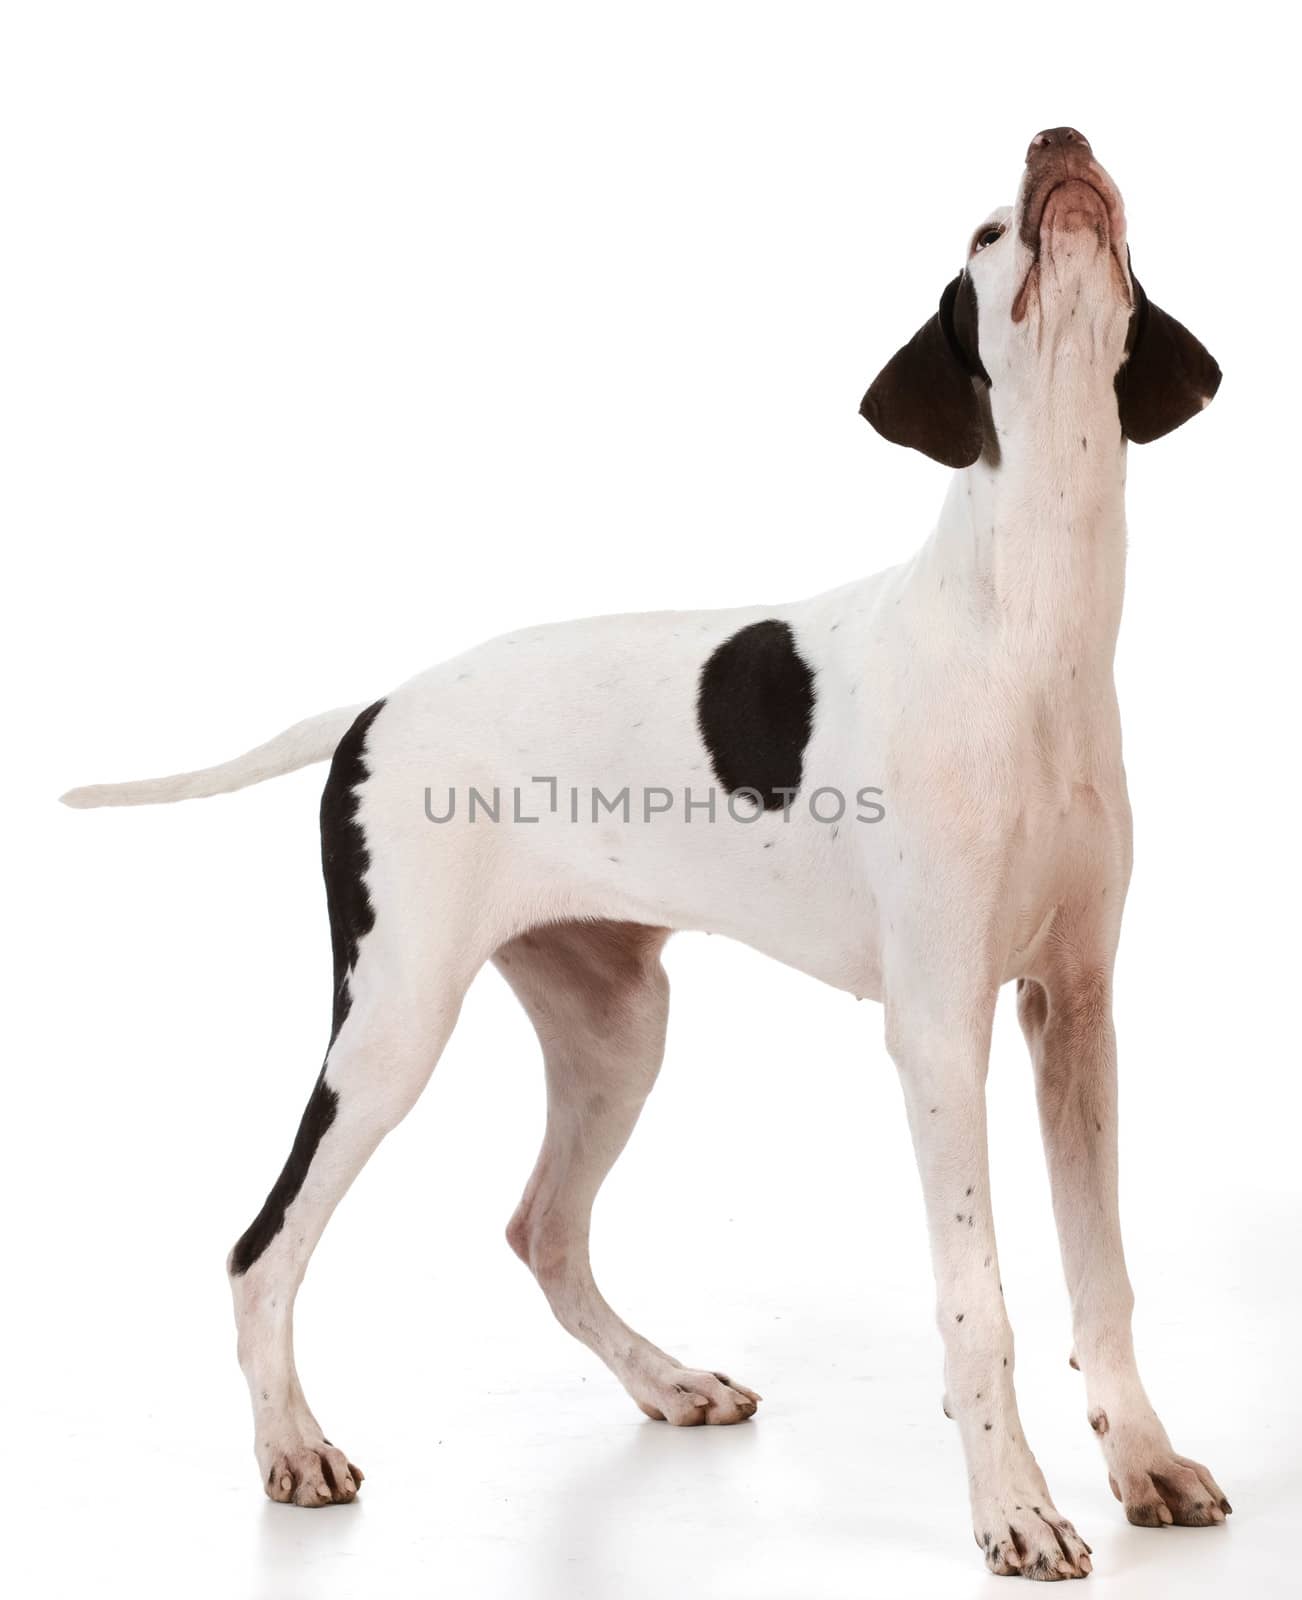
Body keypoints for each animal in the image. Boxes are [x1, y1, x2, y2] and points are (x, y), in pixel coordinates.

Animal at [63, 128, 1234, 1574]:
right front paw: (1013, 1510)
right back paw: (293, 1446)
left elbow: (1102, 1276)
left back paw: (665, 1381)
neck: (1026, 627)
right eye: (979, 236)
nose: (1058, 143)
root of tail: (376, 708)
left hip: (617, 1026)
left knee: (542, 1229)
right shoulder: (938, 1031)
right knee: (262, 1248)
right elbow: (979, 1302)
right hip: (391, 1030)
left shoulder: (1072, 1016)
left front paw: (1144, 1461)